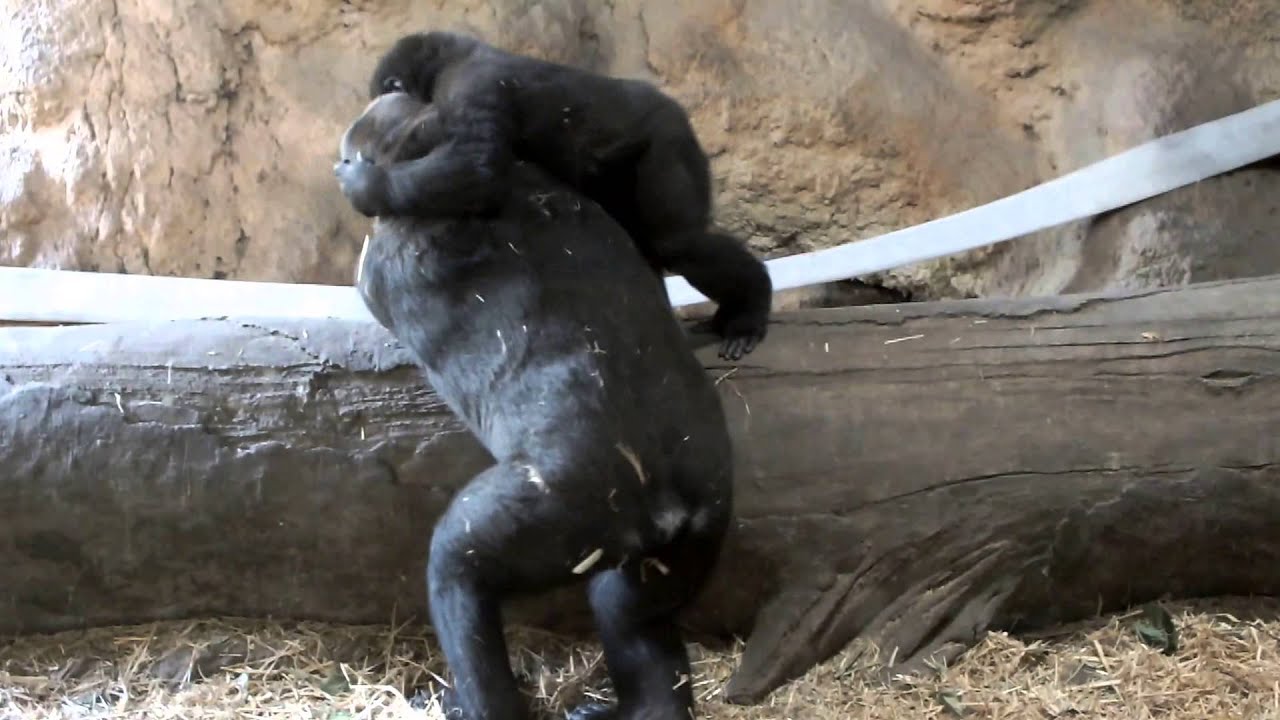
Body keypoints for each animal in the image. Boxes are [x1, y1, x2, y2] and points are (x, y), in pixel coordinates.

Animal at [333, 30, 773, 362]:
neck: (447, 59)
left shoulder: (470, 85)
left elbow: (474, 165)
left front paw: (365, 186)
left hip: (670, 137)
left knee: (678, 243)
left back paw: (748, 310)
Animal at [336, 91, 734, 720]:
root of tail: (670, 500)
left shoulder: (381, 257)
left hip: (569, 507)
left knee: (460, 568)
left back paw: (477, 699)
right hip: (705, 513)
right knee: (627, 608)